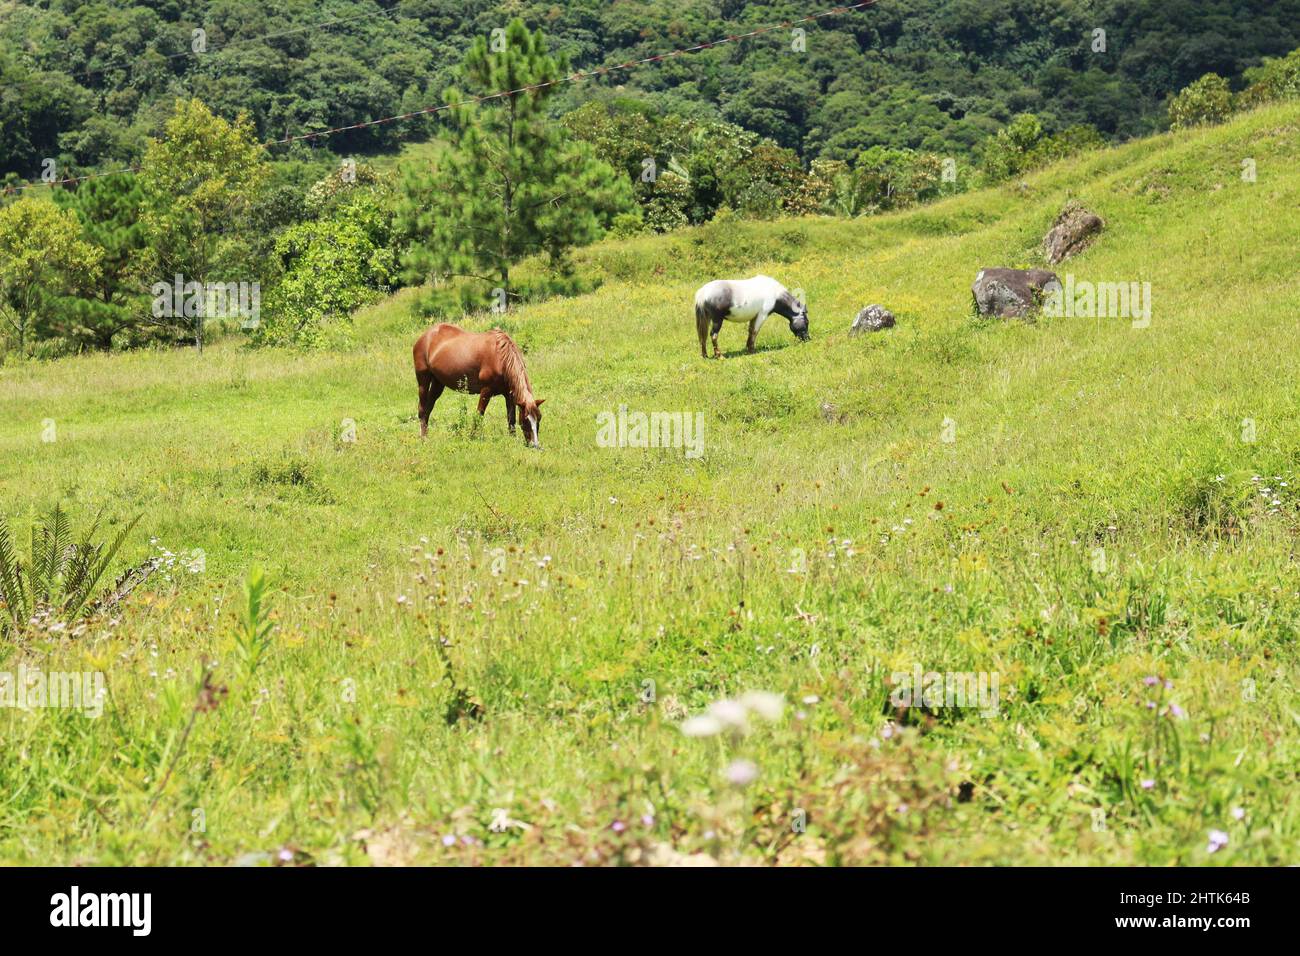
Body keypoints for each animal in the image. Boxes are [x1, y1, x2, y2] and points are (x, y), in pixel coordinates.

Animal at [412, 323, 545, 448]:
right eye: (526, 420)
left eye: (539, 418)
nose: (535, 445)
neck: (501, 358)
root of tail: (425, 336)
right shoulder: (486, 391)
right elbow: (479, 414)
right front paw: (472, 436)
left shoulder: (509, 395)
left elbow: (511, 418)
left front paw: (512, 439)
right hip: (423, 380)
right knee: (422, 409)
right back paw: (423, 438)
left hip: (438, 383)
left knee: (429, 408)